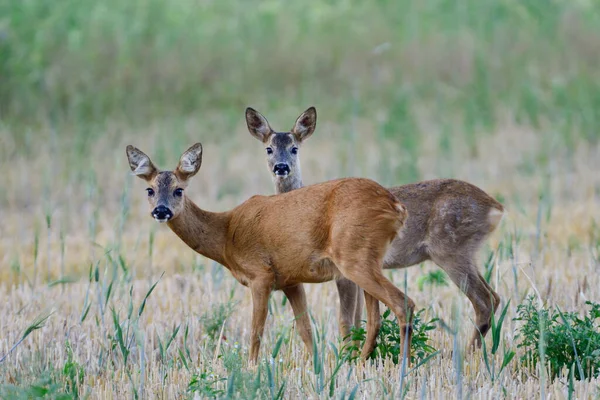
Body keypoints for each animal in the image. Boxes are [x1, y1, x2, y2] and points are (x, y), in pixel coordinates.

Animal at [126, 143, 414, 362]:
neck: (226, 235)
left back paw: (403, 367)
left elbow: (256, 332)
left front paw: (251, 370)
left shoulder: (260, 274)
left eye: (179, 190)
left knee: (403, 303)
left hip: (354, 256)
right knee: (375, 317)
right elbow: (306, 331)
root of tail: (396, 207)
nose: (161, 211)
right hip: (364, 257)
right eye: (150, 189)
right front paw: (317, 369)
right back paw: (360, 364)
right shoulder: (290, 280)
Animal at [246, 105, 504, 350]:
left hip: (450, 250)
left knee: (484, 300)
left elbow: (346, 320)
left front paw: (348, 357)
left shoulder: (343, 273)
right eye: (269, 149)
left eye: (294, 148)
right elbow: (358, 318)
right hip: (467, 253)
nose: (281, 167)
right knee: (494, 296)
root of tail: (496, 207)